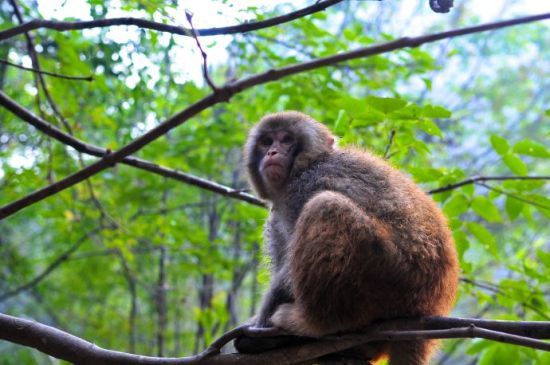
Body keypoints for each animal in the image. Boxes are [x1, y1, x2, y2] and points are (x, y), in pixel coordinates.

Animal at [237, 111, 462, 364]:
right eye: (267, 141)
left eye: (286, 140)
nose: (272, 152)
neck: (305, 166)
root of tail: (428, 309)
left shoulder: (305, 186)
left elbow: (287, 276)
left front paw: (261, 324)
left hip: (395, 275)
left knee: (326, 206)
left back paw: (313, 324)